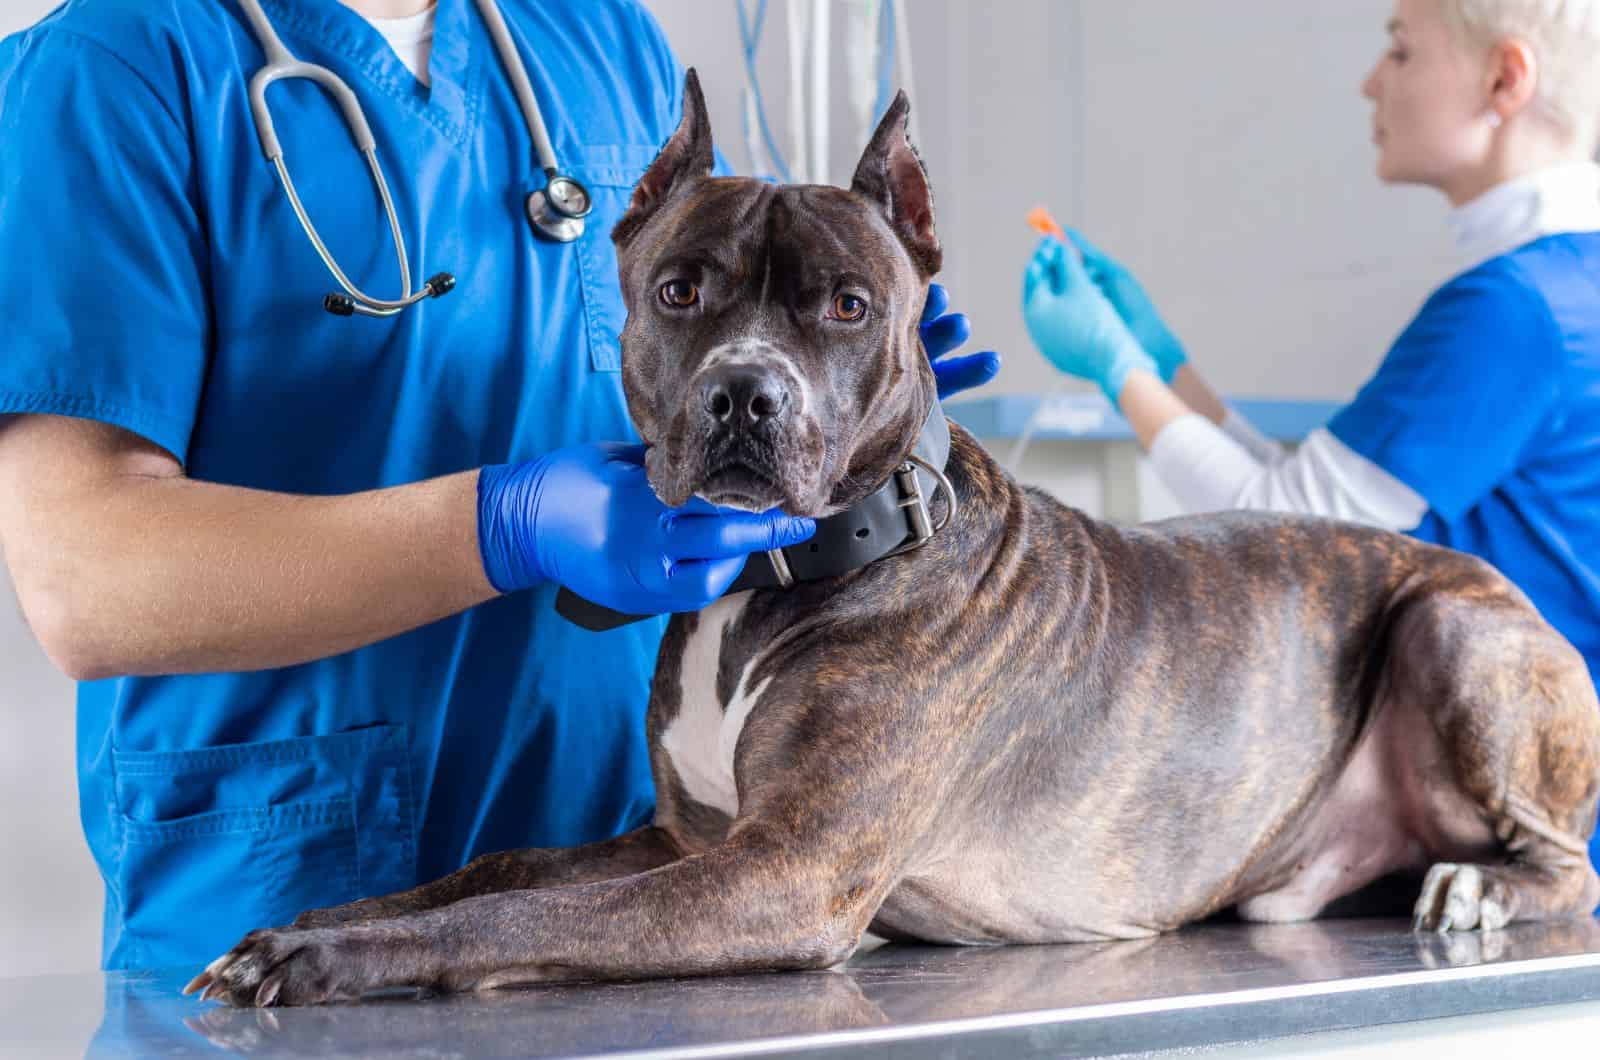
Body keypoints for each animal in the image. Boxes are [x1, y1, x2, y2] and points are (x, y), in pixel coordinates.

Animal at [190, 72, 1600, 1005]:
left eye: (850, 306)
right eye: (678, 290)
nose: (743, 396)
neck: (778, 572)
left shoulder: (784, 870)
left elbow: (528, 911)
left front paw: (330, 952)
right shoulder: (690, 843)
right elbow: (502, 866)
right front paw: (322, 913)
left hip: (1453, 626)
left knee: (1561, 859)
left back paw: (1480, 888)